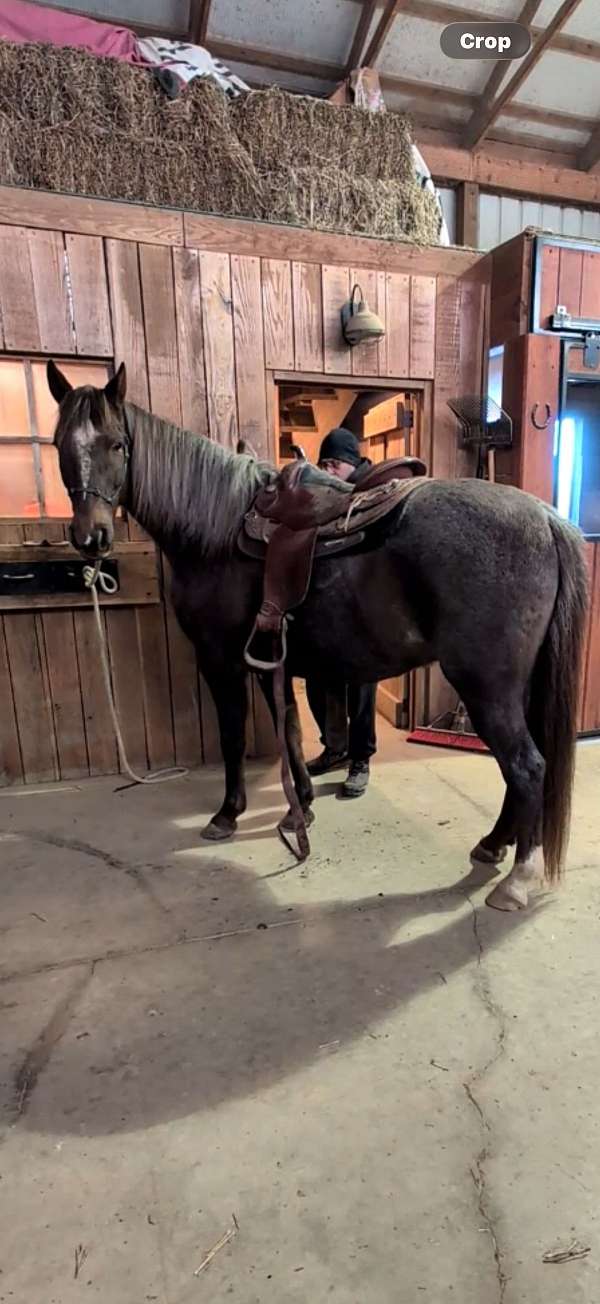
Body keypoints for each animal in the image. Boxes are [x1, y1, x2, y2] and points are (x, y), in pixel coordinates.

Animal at [47, 360, 589, 912]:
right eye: (58, 443)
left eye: (117, 444)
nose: (91, 537)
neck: (216, 533)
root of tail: (545, 518)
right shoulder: (269, 660)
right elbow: (288, 727)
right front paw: (299, 809)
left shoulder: (222, 660)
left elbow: (233, 734)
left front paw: (228, 813)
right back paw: (494, 844)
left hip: (486, 687)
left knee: (526, 767)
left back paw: (516, 876)